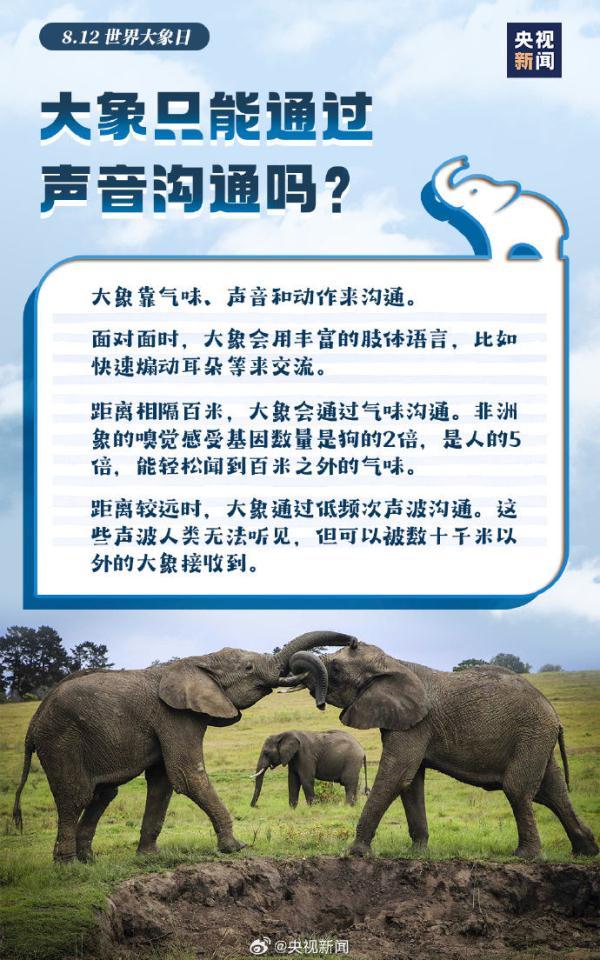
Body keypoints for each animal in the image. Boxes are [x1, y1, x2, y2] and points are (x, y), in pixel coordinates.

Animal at [12, 631, 355, 862]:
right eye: (247, 668)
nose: (352, 641)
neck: (198, 661)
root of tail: (34, 721)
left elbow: (163, 782)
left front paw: (150, 857)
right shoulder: (173, 716)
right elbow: (187, 775)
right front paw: (236, 847)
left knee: (103, 793)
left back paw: (89, 861)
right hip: (61, 740)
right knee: (77, 796)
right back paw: (69, 865)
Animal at [284, 637, 599, 860]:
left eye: (335, 669)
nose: (318, 699)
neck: (394, 662)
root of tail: (555, 717)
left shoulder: (416, 724)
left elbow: (397, 776)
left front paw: (355, 853)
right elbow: (411, 782)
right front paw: (417, 853)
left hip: (530, 735)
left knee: (518, 789)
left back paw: (526, 856)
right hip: (537, 739)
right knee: (552, 791)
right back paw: (585, 851)